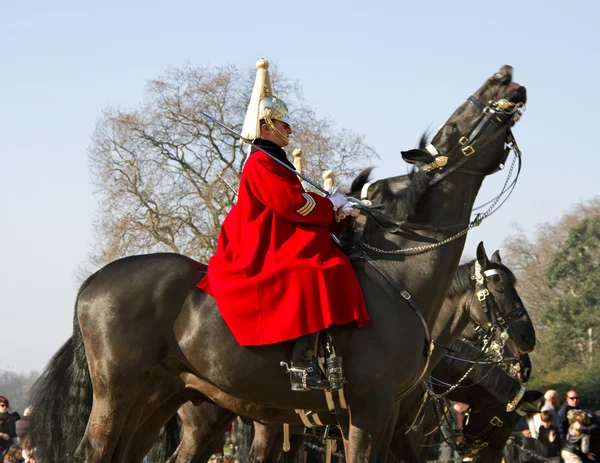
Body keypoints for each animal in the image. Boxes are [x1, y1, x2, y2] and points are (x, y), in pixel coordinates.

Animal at [28, 63, 524, 462]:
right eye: (455, 127)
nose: (506, 76)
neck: (400, 275)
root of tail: (94, 281)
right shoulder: (371, 410)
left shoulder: (374, 422)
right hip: (121, 395)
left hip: (160, 396)